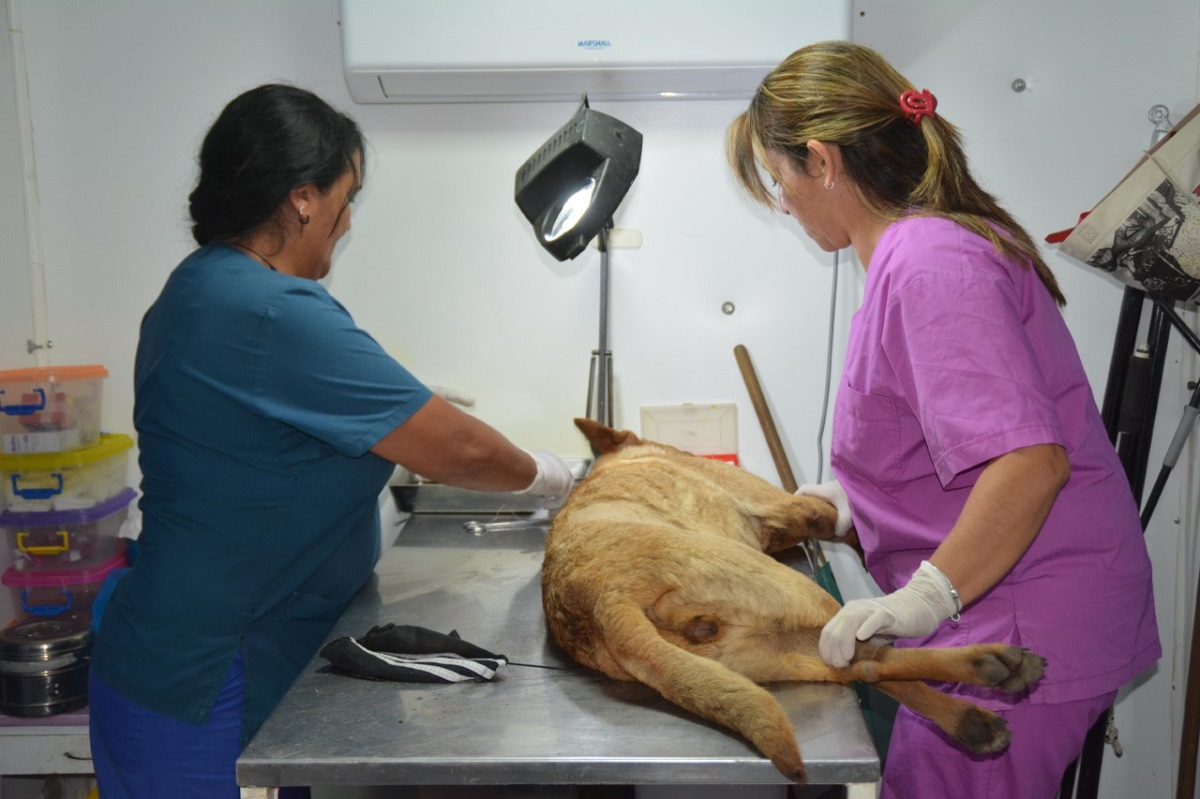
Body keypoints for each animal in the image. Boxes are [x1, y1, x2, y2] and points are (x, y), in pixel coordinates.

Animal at [540, 419, 1046, 782]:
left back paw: (970, 717)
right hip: (797, 592)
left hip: (767, 649)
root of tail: (598, 603)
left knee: (864, 665)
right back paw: (990, 664)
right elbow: (843, 522)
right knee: (868, 653)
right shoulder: (797, 507)